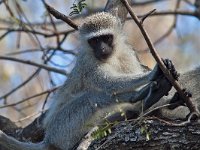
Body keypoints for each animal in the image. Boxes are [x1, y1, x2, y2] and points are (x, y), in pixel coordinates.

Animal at [0, 12, 186, 150]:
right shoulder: (87, 62)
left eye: (107, 38)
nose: (102, 49)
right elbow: (106, 83)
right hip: (61, 129)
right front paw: (153, 74)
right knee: (93, 97)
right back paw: (145, 95)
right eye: (95, 41)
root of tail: (48, 140)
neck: (110, 57)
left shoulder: (126, 53)